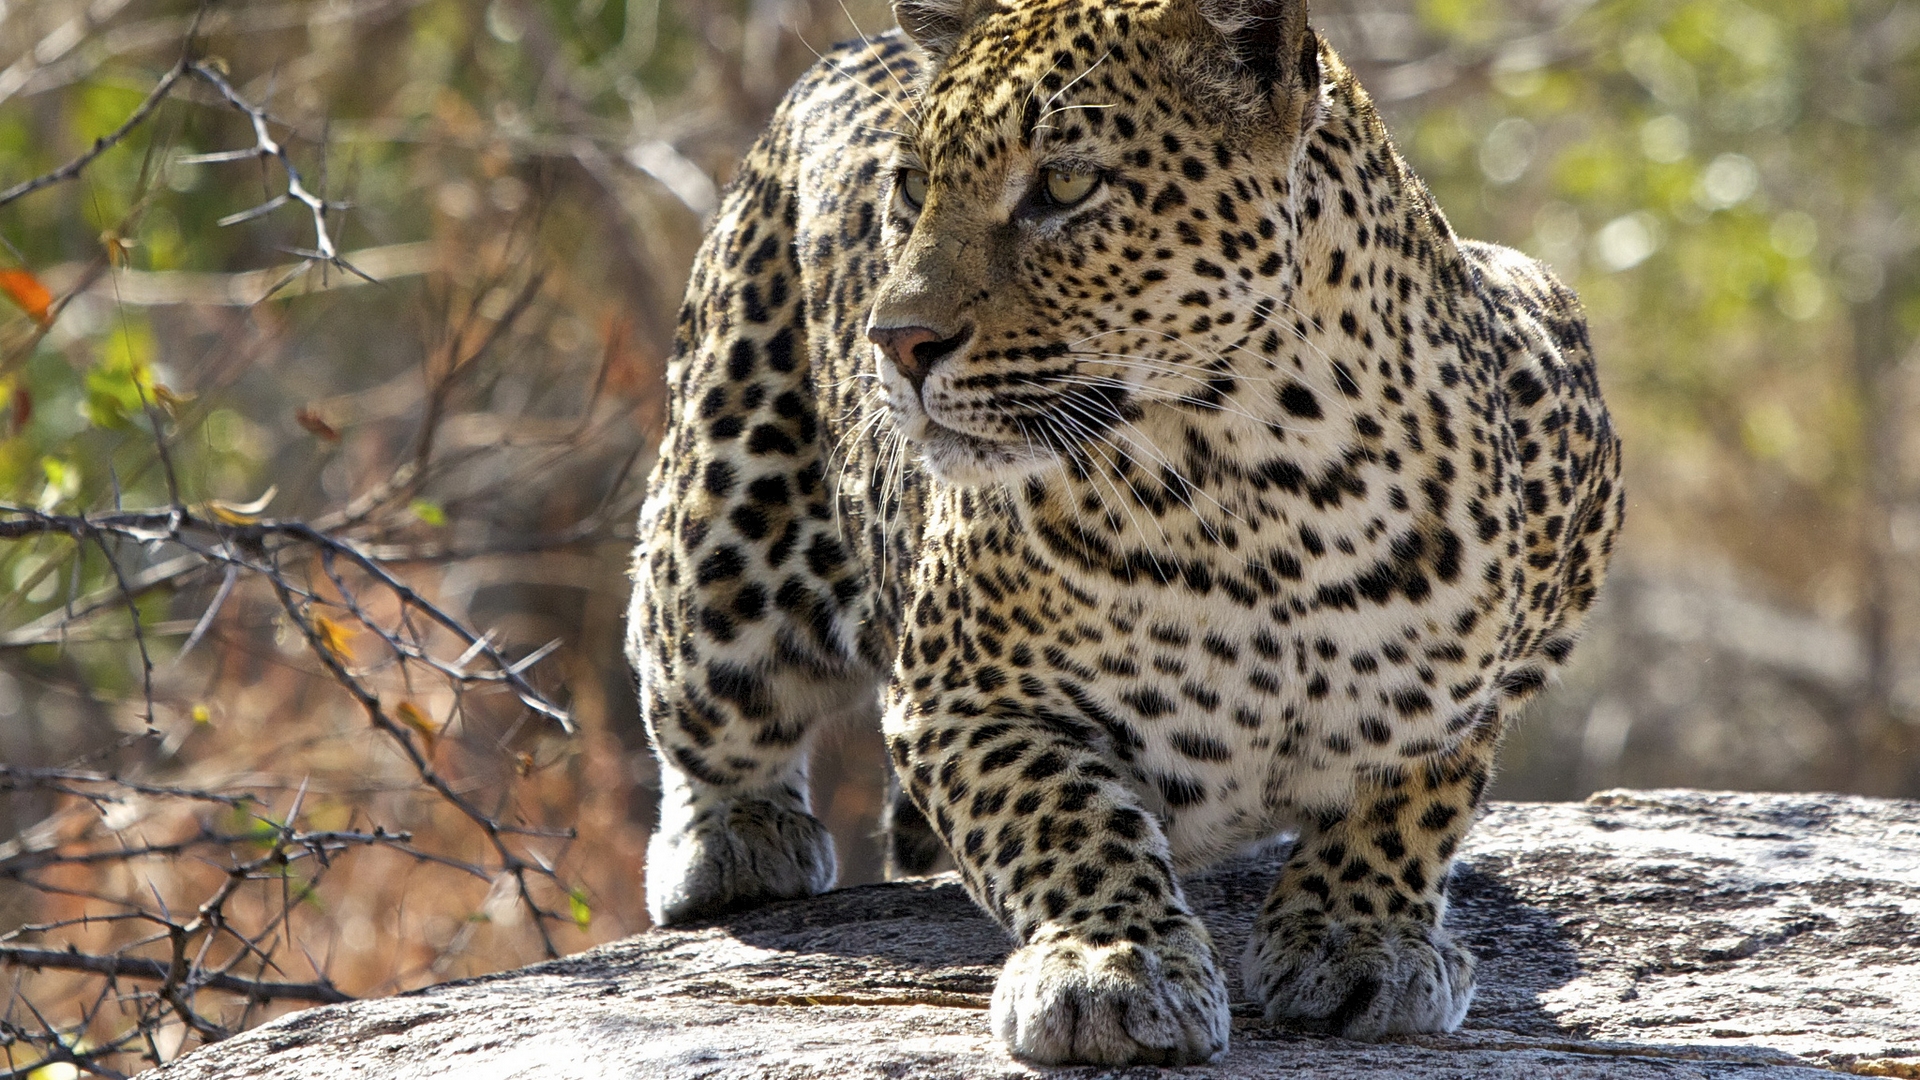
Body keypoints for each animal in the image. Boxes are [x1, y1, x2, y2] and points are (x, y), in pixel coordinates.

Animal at [625, 0, 1620, 1060]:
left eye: (1065, 183)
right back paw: (732, 843)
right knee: (696, 690)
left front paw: (1361, 939)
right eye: (913, 187)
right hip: (722, 553)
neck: (1265, 491)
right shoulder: (960, 697)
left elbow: (1416, 791)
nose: (894, 342)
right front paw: (1112, 967)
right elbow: (1062, 820)